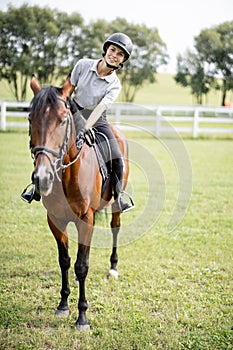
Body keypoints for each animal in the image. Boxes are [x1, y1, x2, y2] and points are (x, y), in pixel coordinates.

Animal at [28, 75, 130, 330]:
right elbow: (65, 261)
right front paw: (63, 305)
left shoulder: (86, 218)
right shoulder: (55, 220)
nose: (42, 177)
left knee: (115, 228)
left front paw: (82, 316)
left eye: (63, 120)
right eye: (30, 118)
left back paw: (113, 268)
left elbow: (82, 265)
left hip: (114, 206)